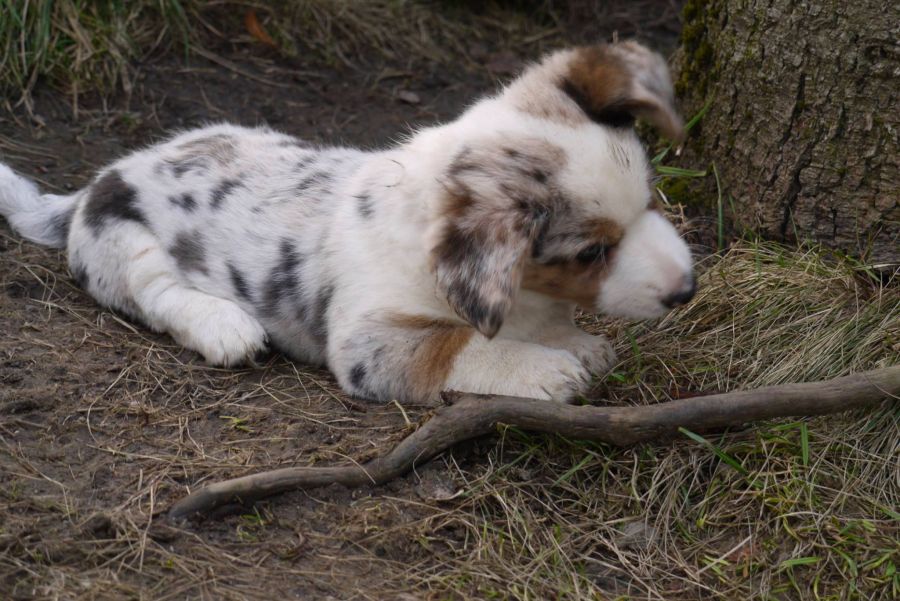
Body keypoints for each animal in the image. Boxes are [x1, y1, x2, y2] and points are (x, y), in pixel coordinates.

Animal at [0, 41, 695, 405]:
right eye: (592, 253)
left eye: (651, 201)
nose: (687, 290)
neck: (524, 296)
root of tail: (102, 176)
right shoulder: (370, 341)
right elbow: (459, 346)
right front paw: (546, 369)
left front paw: (578, 344)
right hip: (125, 243)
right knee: (155, 293)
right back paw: (225, 328)